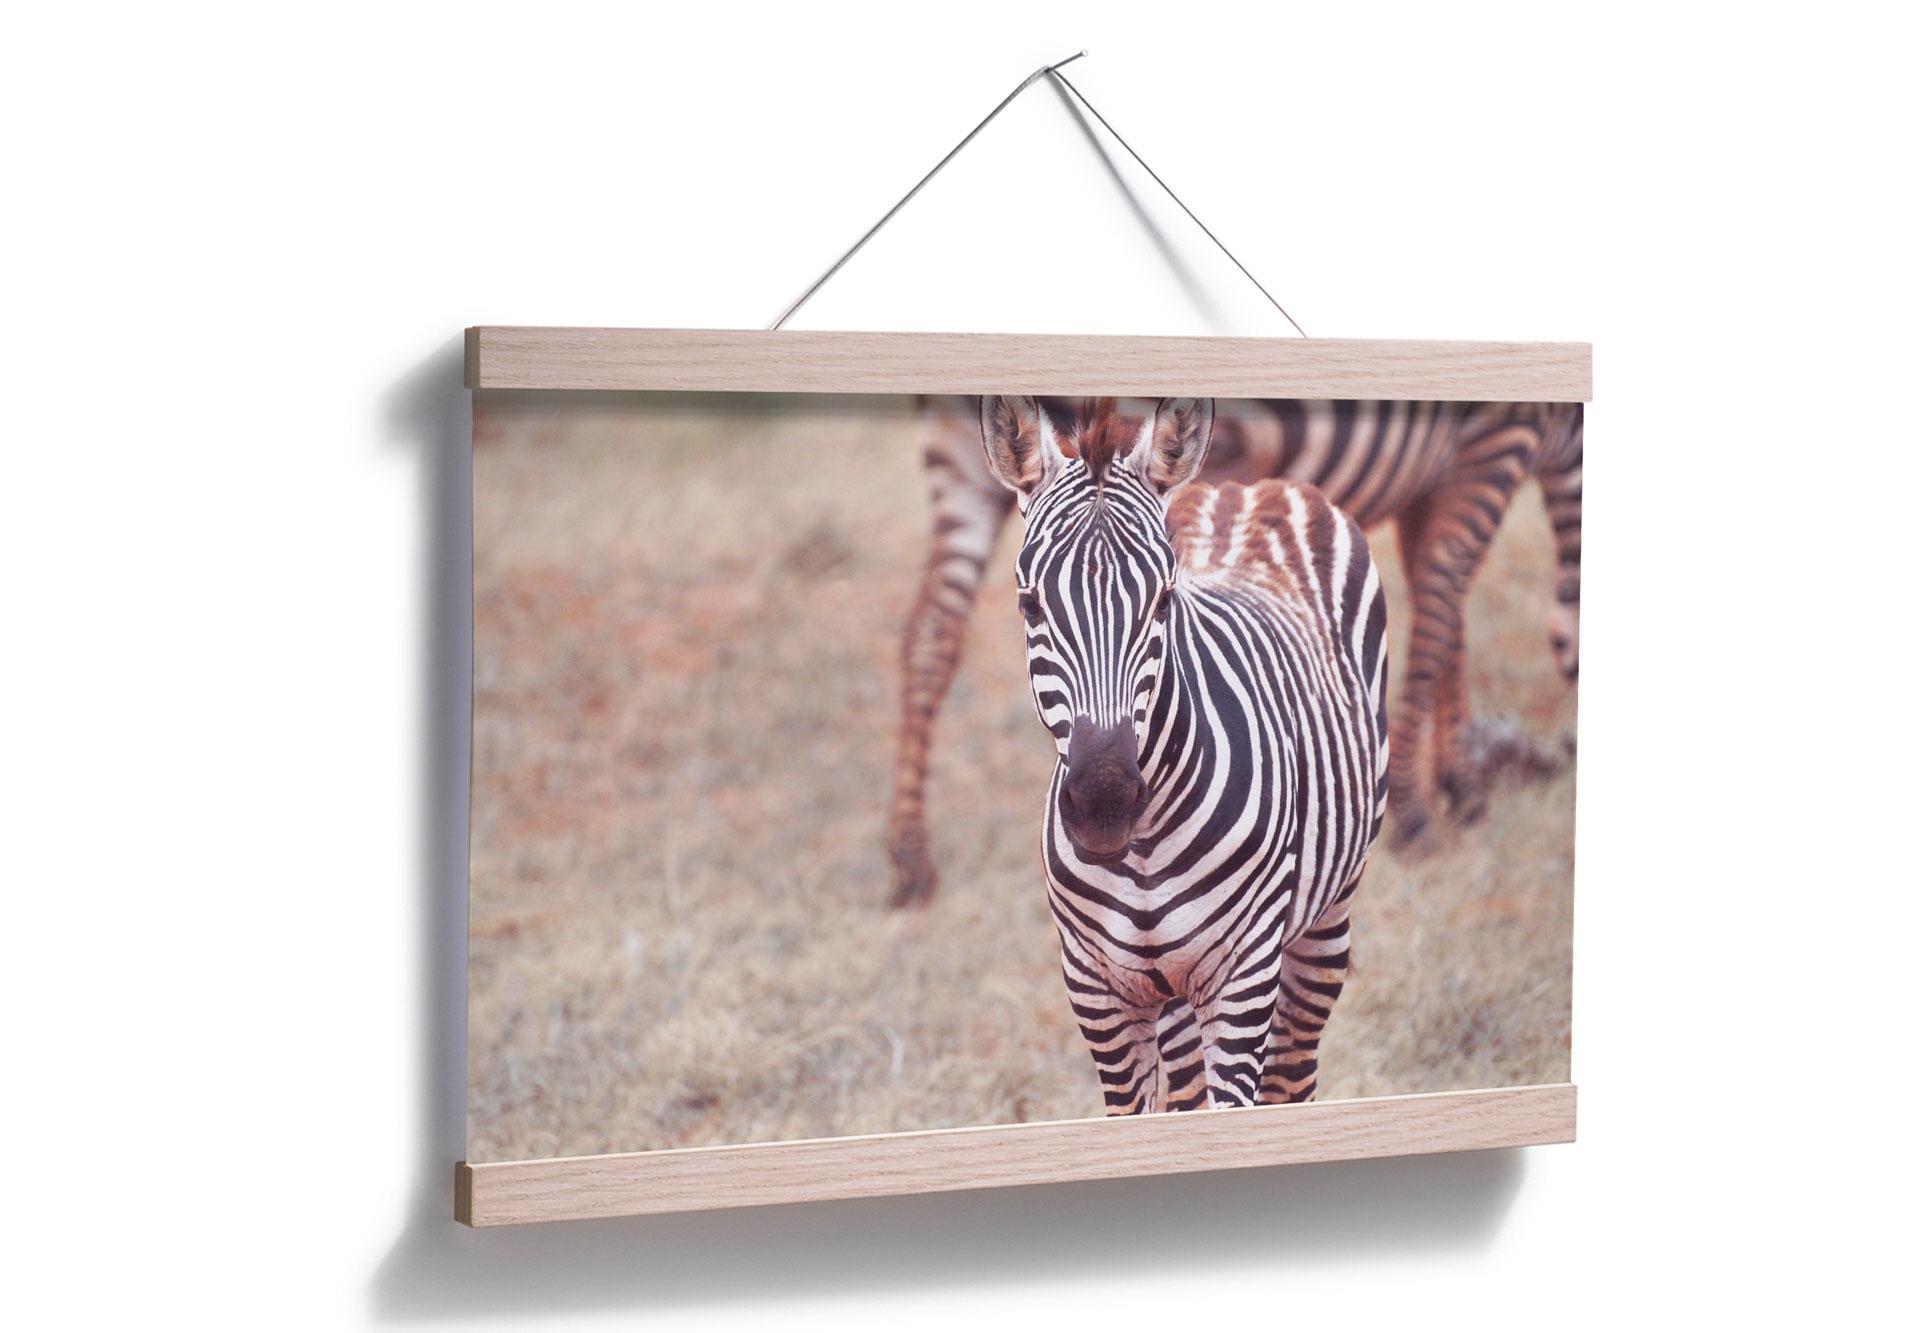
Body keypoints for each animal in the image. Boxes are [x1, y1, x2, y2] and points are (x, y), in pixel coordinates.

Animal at [887, 394, 1581, 907]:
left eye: (1166, 602)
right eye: (1031, 607)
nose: (1104, 801)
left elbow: (1445, 609)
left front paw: (1459, 778)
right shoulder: (1495, 443)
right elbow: (1444, 600)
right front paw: (1423, 807)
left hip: (962, 456)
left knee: (929, 633)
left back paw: (911, 861)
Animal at [979, 395, 1389, 1111]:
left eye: (1165, 599)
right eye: (1030, 605)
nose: (1105, 800)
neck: (1141, 845)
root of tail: (1246, 485)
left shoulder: (1242, 975)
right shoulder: (1097, 988)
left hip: (1327, 916)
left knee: (1292, 1072)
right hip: (1169, 990)